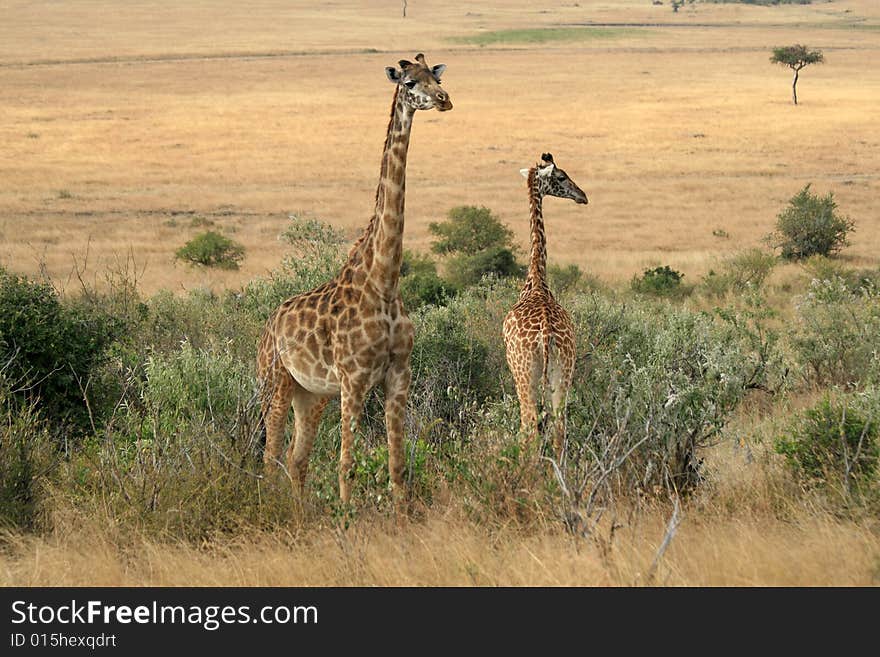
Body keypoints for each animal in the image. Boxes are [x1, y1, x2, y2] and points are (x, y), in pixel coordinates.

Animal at [256, 53, 454, 504]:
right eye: (409, 82)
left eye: (435, 76)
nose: (445, 99)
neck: (384, 282)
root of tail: (268, 324)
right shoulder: (355, 378)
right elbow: (347, 465)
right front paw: (348, 517)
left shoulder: (398, 375)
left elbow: (397, 467)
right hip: (275, 382)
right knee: (270, 458)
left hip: (312, 394)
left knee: (296, 458)